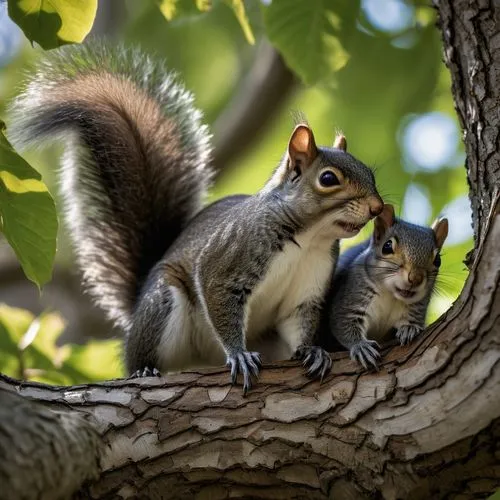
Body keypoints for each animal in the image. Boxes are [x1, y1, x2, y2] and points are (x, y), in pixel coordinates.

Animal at [8, 43, 382, 392]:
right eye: (328, 179)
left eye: (369, 172)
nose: (378, 208)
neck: (309, 236)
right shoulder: (230, 259)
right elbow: (218, 297)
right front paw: (238, 354)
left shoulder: (306, 290)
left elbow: (300, 322)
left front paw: (312, 350)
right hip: (162, 304)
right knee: (143, 354)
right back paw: (144, 370)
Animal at [320, 204, 450, 372]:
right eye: (387, 247)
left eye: (438, 260)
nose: (415, 278)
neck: (390, 295)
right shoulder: (351, 299)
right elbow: (344, 324)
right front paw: (361, 346)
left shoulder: (417, 307)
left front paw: (409, 328)